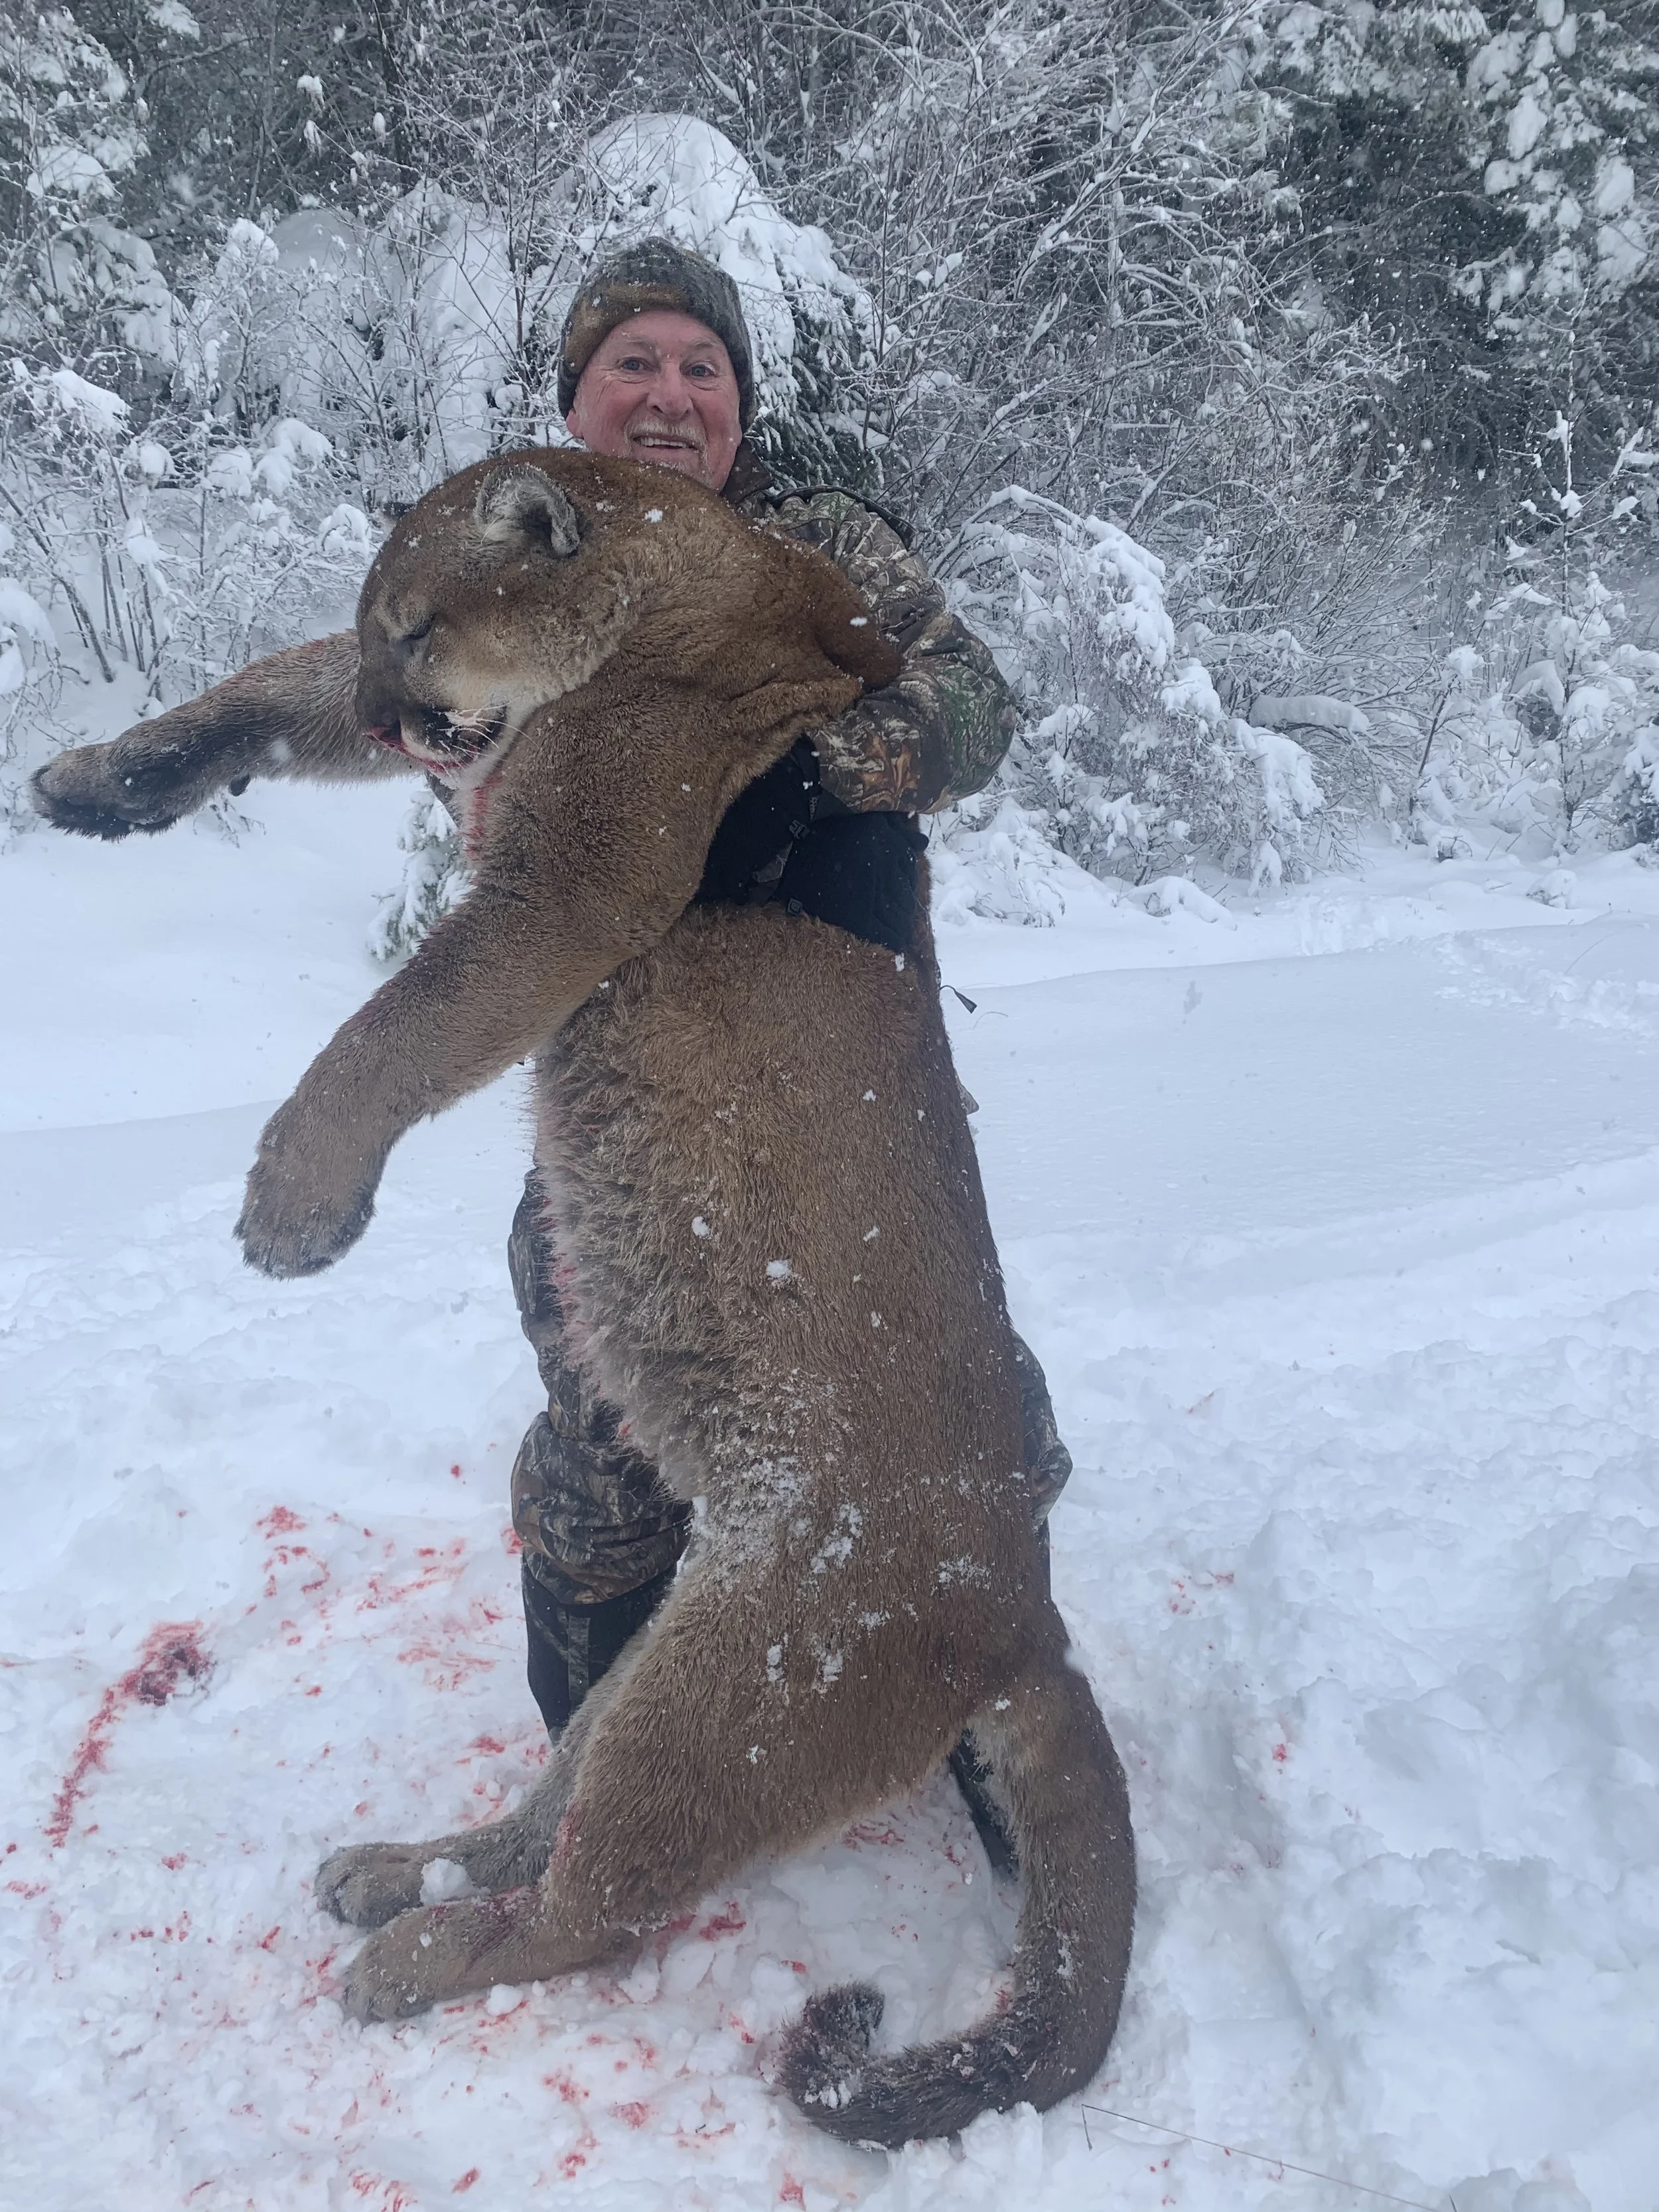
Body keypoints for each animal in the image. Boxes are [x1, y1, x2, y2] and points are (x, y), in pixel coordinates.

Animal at [31, 448, 1135, 2146]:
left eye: (422, 626)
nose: (395, 716)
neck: (687, 580)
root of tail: (1025, 1611)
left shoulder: (571, 879)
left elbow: (399, 1023)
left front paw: (297, 1203)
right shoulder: (480, 770)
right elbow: (266, 691)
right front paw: (103, 783)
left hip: (728, 1708)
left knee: (590, 1917)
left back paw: (404, 1954)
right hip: (654, 1678)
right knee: (544, 1827)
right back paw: (400, 1868)